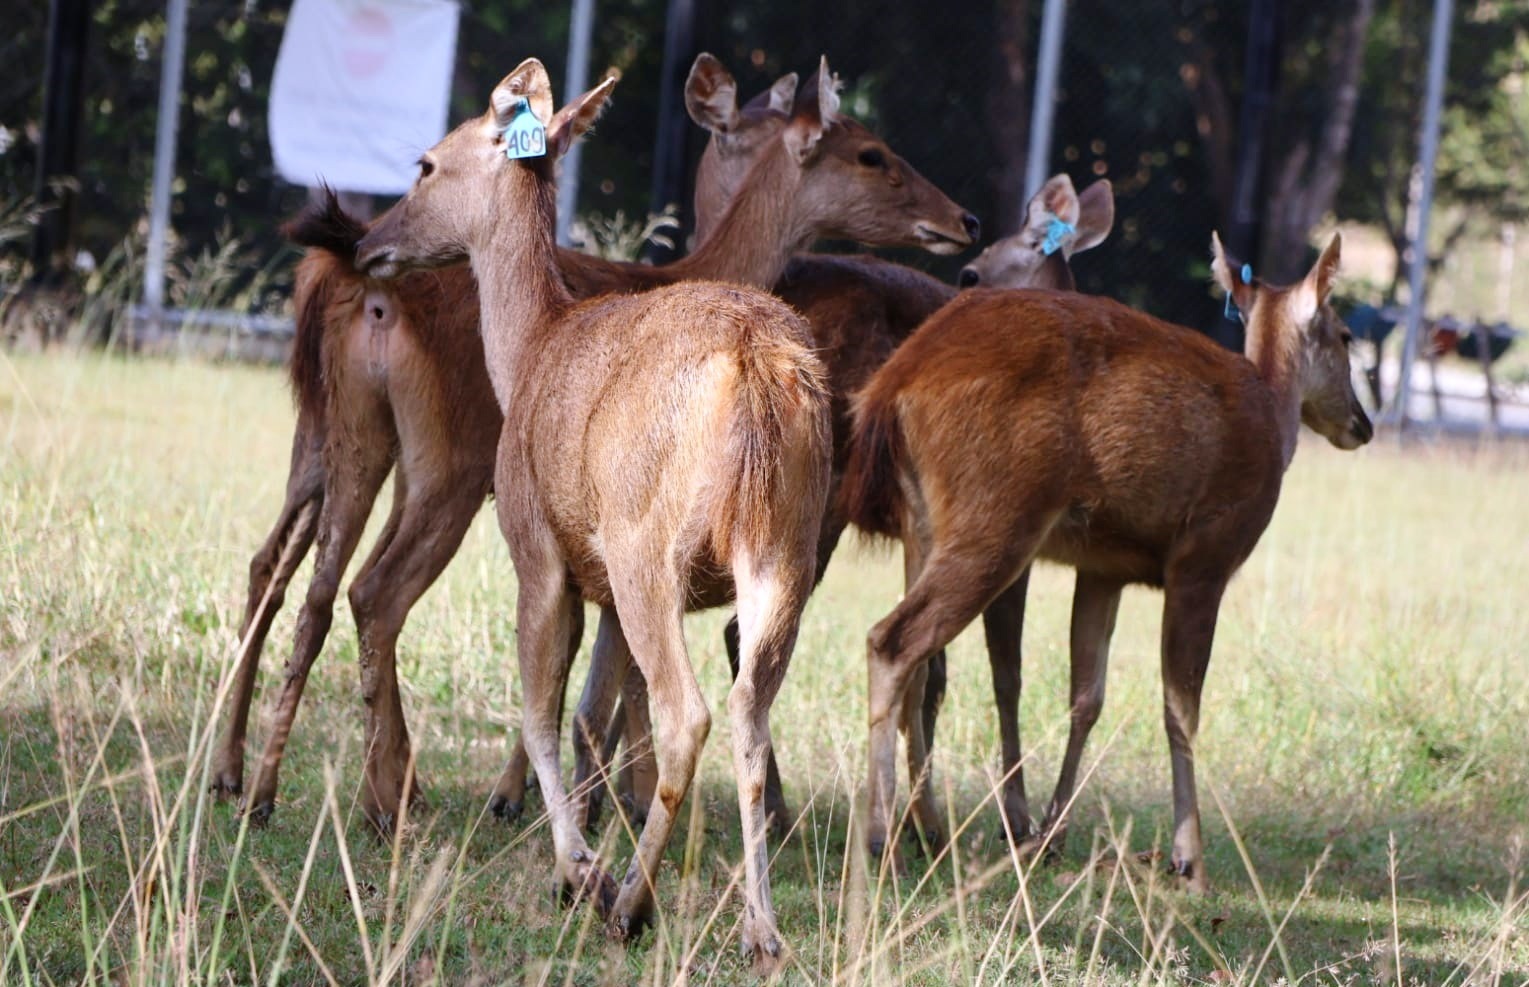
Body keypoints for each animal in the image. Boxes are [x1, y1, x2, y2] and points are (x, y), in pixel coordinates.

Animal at [212, 56, 978, 843]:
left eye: (425, 164)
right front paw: (580, 805)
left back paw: (291, 787)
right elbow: (592, 694)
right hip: (433, 462)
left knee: (310, 580)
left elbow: (574, 691)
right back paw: (332, 792)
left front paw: (566, 809)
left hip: (385, 454)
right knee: (346, 587)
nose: (965, 221)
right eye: (871, 154)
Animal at [351, 56, 831, 965]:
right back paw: (760, 928)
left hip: (648, 542)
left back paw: (631, 903)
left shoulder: (539, 547)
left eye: (425, 163)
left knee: (688, 713)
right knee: (750, 713)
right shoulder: (600, 582)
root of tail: (756, 366)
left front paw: (576, 867)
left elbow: (541, 709)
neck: (529, 349)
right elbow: (585, 712)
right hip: (786, 549)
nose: (367, 243)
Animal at [837, 230, 1376, 892]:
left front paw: (1052, 834)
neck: (1274, 417)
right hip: (996, 515)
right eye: (1346, 334)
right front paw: (1190, 861)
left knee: (920, 667)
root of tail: (890, 387)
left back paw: (922, 830)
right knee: (892, 641)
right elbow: (1182, 709)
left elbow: (1086, 696)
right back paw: (881, 840)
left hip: (922, 523)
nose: (1362, 423)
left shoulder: (1104, 569)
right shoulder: (1205, 556)